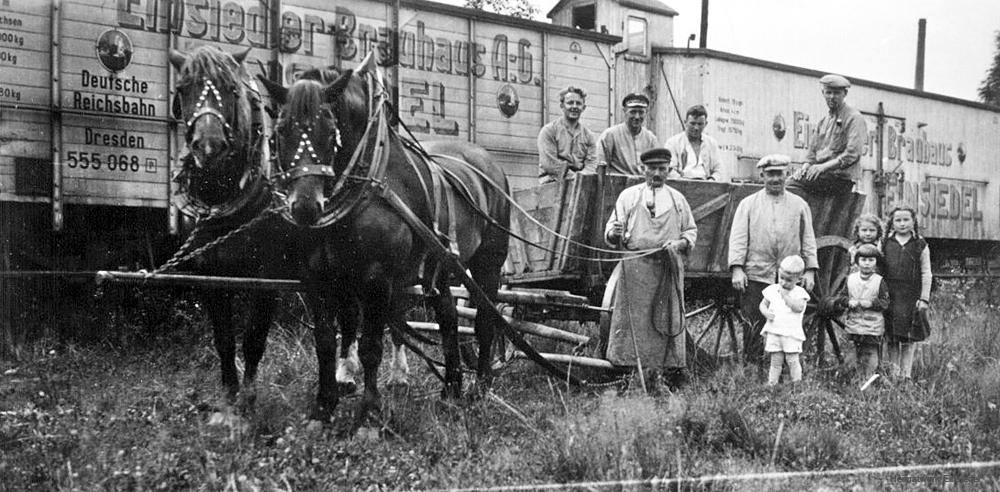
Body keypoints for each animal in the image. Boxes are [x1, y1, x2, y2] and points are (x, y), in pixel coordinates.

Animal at [260, 62, 508, 422]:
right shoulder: (318, 278)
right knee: (447, 316)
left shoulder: (376, 278)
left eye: (330, 129)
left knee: (486, 320)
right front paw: (324, 405)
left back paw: (482, 385)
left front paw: (369, 411)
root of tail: (487, 163)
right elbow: (326, 340)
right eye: (280, 130)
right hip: (440, 265)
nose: (305, 206)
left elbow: (370, 345)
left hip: (488, 262)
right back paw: (451, 388)